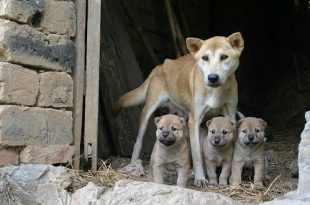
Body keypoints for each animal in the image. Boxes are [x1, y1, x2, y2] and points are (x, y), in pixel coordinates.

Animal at [113, 32, 245, 187]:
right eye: (205, 58)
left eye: (224, 57)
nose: (212, 77)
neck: (215, 91)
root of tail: (160, 65)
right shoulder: (195, 120)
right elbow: (197, 155)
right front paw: (200, 179)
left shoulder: (230, 116)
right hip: (148, 111)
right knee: (138, 141)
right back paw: (134, 164)